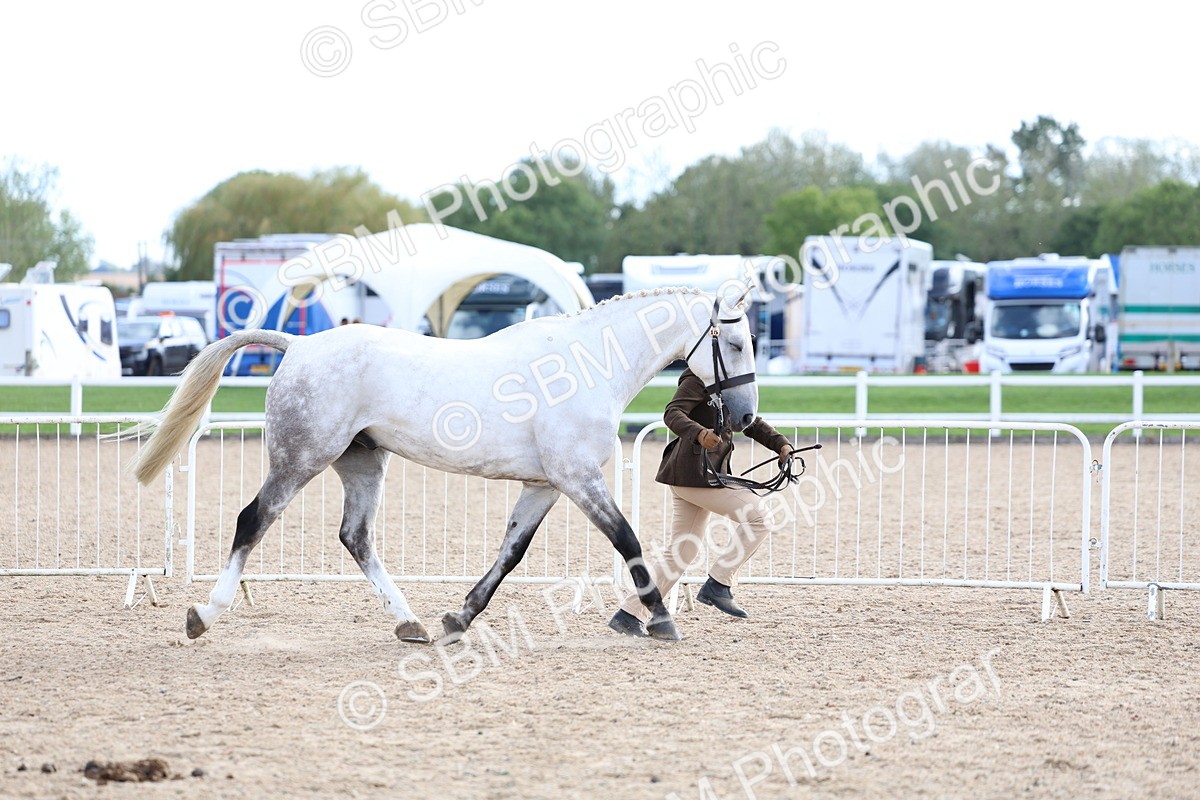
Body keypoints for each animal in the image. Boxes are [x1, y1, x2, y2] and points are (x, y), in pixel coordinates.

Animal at [128, 285, 760, 643]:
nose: (745, 416)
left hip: (362, 462)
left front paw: (459, 619)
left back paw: (410, 625)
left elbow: (511, 552)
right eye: (735, 343)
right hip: (301, 459)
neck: (583, 367)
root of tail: (298, 345)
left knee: (355, 536)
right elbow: (626, 538)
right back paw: (203, 615)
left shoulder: (545, 484)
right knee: (252, 521)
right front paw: (659, 619)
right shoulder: (578, 478)